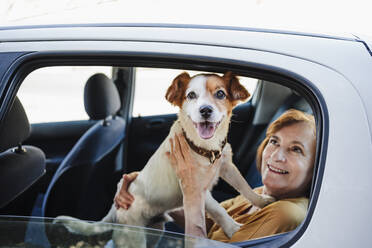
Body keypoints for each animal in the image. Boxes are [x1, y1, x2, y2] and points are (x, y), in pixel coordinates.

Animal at [56, 71, 276, 246]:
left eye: (220, 93)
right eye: (191, 95)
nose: (205, 110)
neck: (204, 149)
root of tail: (115, 210)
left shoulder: (227, 166)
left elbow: (245, 187)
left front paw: (262, 201)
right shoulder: (196, 187)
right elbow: (218, 210)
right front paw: (234, 229)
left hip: (155, 231)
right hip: (134, 239)